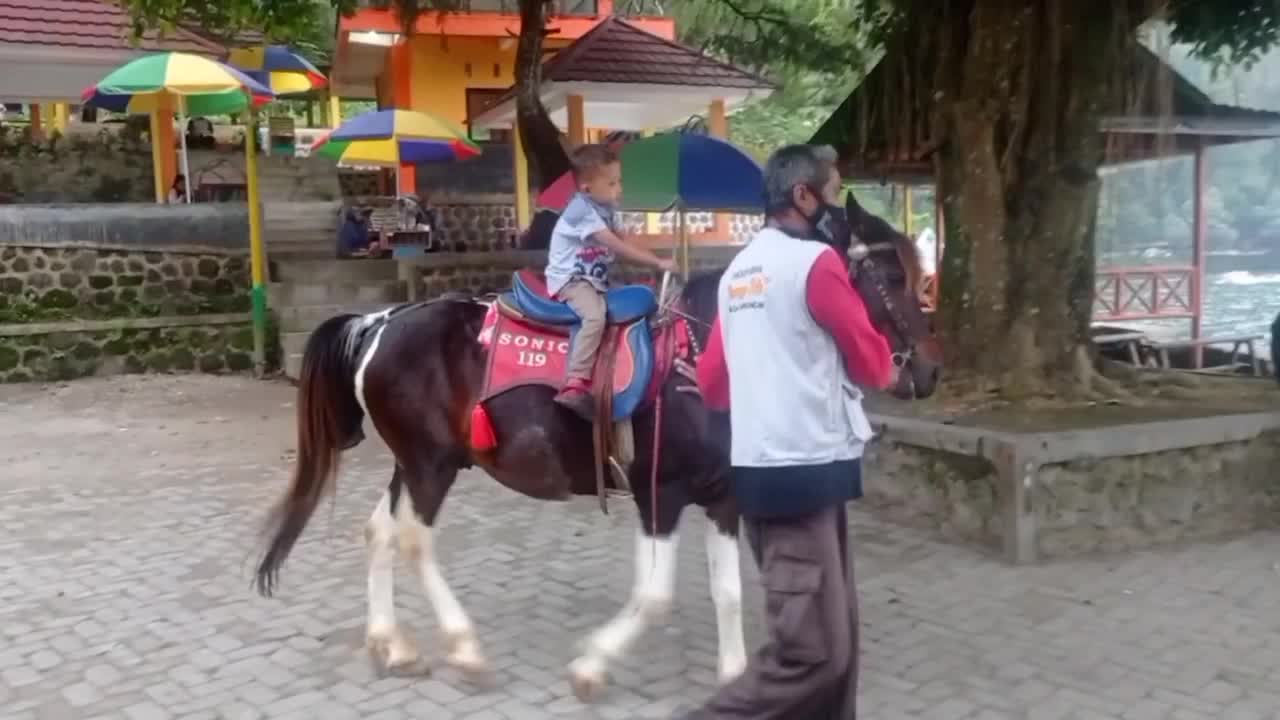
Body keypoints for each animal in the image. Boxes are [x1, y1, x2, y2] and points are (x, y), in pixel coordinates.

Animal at [249, 198, 942, 696]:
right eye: (886, 274)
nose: (929, 371)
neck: (706, 358)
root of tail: (380, 323)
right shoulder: (659, 493)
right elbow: (655, 596)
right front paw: (591, 667)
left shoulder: (723, 497)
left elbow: (727, 592)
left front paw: (731, 676)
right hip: (431, 464)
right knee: (414, 541)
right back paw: (464, 648)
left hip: (412, 462)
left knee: (380, 532)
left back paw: (390, 642)